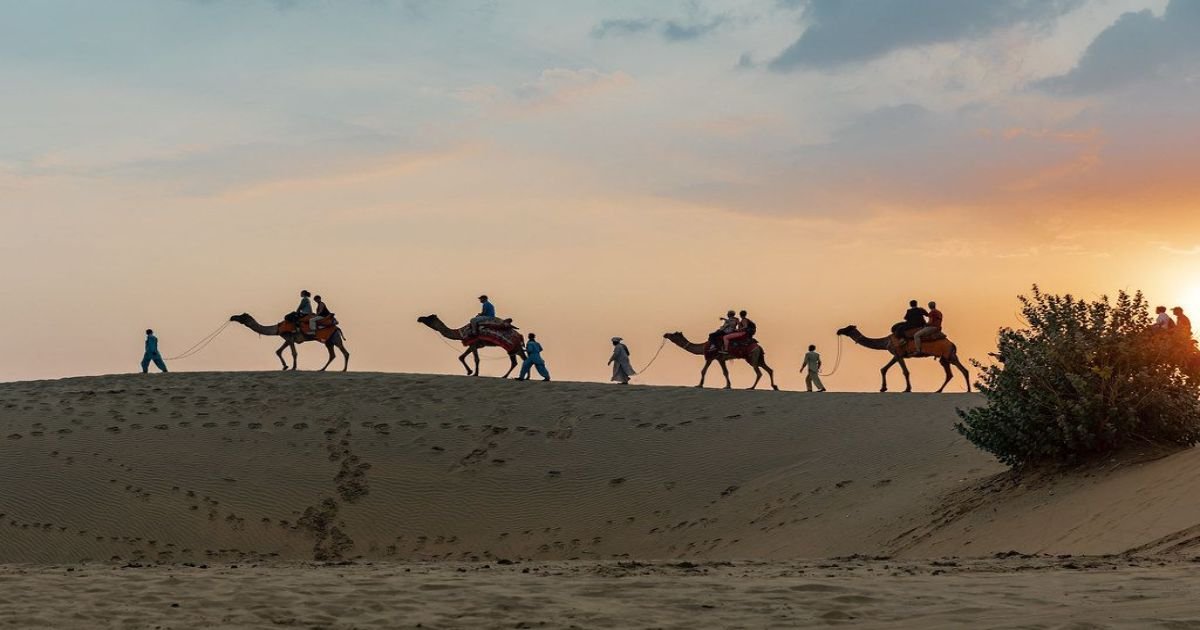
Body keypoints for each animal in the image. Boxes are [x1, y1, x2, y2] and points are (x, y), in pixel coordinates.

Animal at [840, 324, 969, 393]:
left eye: (847, 328)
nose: (839, 330)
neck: (886, 341)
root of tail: (953, 344)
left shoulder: (898, 354)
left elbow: (905, 371)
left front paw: (907, 389)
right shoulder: (896, 354)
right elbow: (883, 369)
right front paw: (883, 388)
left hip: (949, 355)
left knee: (961, 371)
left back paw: (966, 390)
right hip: (946, 358)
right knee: (953, 373)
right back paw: (940, 390)